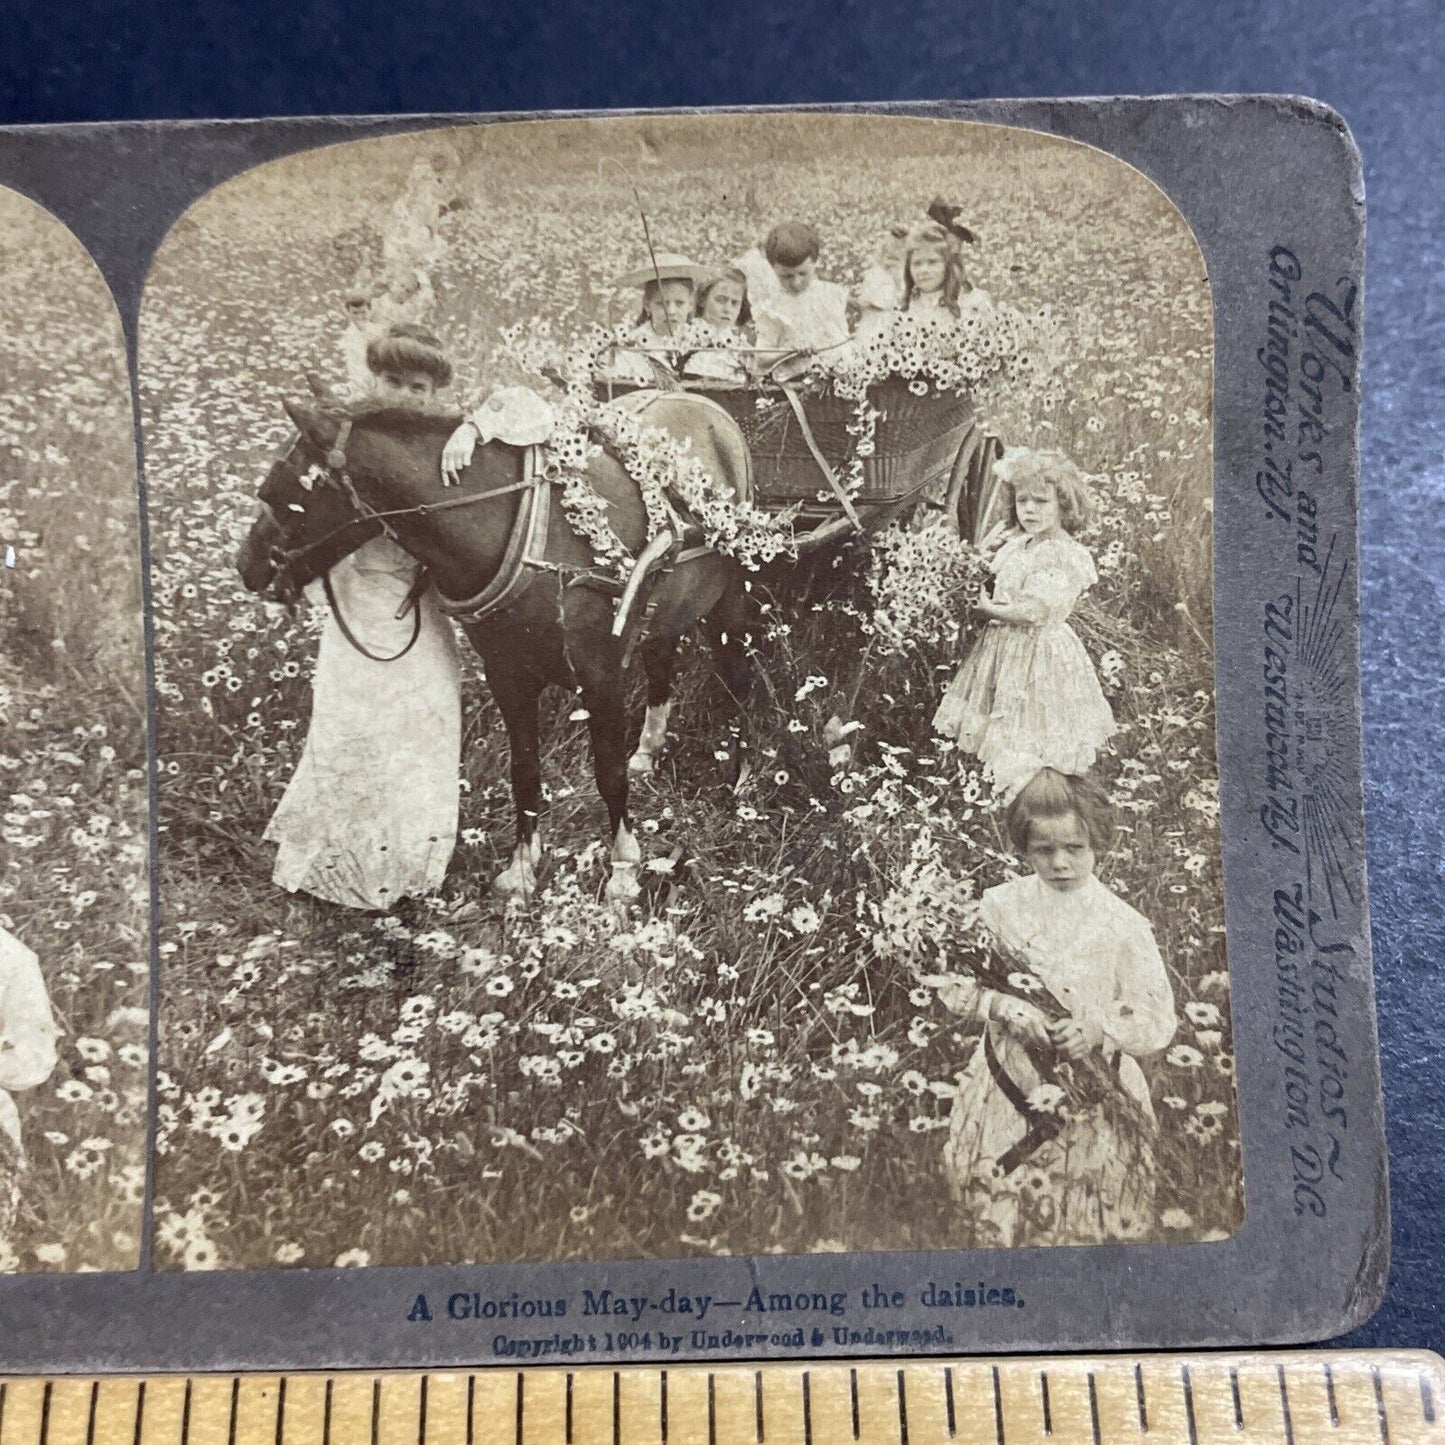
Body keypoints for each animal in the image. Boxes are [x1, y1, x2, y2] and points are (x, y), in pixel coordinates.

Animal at [235, 390, 757, 895]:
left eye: (279, 495)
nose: (246, 567)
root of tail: (707, 408)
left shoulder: (600, 678)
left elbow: (609, 776)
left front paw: (623, 872)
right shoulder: (507, 675)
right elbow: (524, 772)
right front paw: (522, 870)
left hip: (732, 602)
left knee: (740, 681)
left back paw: (742, 779)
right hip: (662, 610)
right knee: (661, 663)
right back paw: (648, 751)